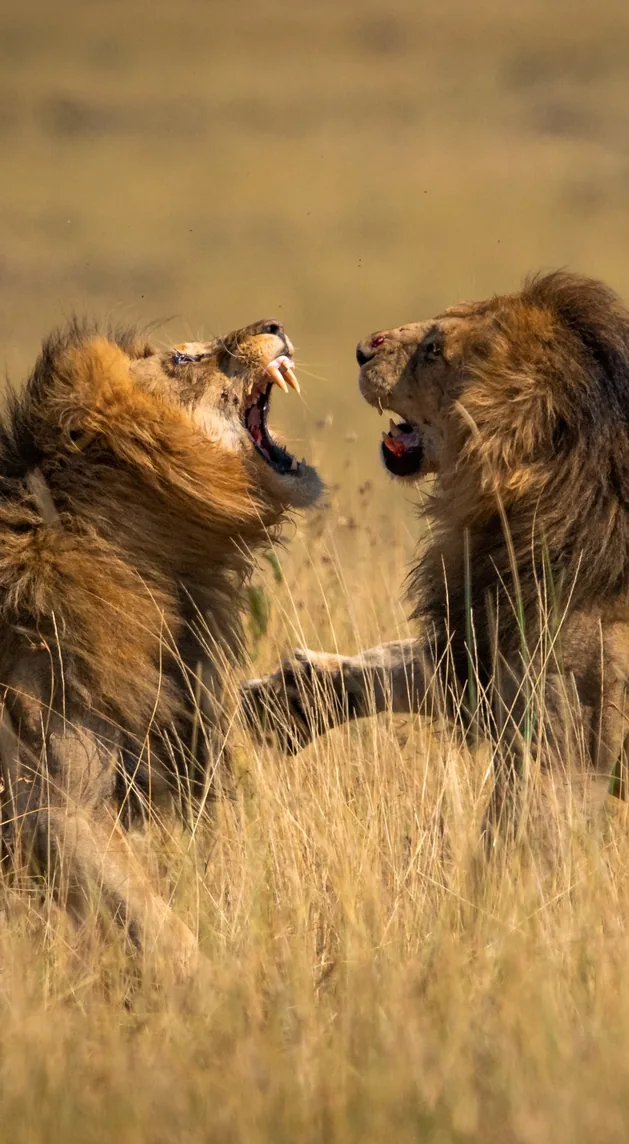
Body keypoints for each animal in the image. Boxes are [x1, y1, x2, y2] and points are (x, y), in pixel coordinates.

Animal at [242, 272, 629, 822]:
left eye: (434, 350)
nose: (362, 349)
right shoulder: (479, 655)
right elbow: (397, 664)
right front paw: (290, 698)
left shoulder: (569, 748)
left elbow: (514, 830)